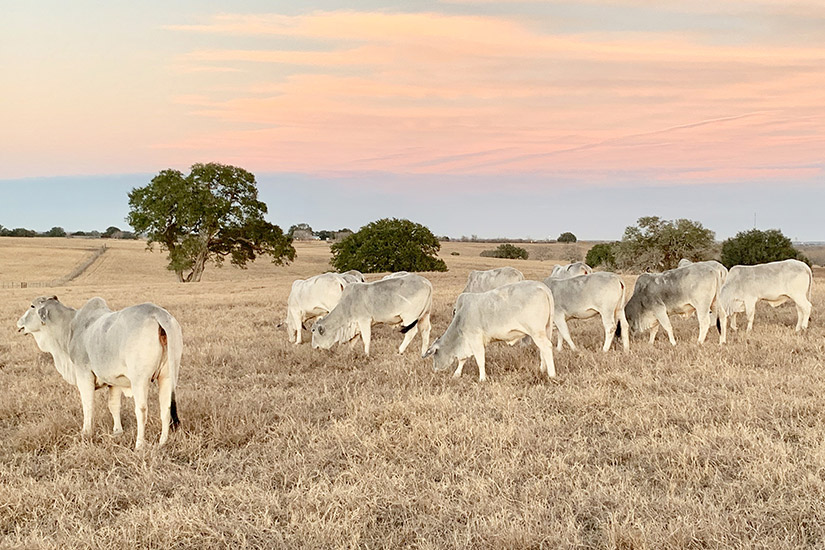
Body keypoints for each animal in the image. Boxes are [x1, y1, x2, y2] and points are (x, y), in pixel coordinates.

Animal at [16, 298, 182, 448]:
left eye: (32, 306)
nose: (19, 323)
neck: (70, 327)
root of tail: (157, 313)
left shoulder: (84, 374)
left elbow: (87, 404)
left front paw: (86, 432)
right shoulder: (114, 381)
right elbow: (114, 405)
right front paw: (117, 431)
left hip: (139, 379)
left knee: (141, 410)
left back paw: (139, 444)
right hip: (167, 376)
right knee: (166, 408)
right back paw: (162, 442)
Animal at [424, 282, 552, 382]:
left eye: (434, 355)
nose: (434, 370)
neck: (461, 317)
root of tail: (542, 286)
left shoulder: (475, 340)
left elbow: (480, 360)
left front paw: (482, 379)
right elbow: (462, 359)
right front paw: (457, 374)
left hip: (536, 332)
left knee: (547, 347)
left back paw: (551, 375)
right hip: (545, 330)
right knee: (543, 350)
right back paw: (542, 369)